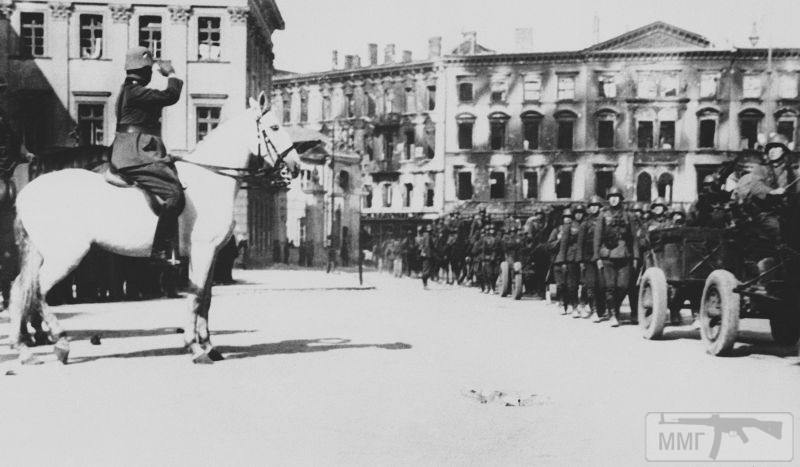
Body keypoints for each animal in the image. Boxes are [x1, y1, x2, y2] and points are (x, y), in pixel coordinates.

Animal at [7, 92, 300, 366]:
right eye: (275, 127)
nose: (296, 167)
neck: (210, 179)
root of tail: (27, 190)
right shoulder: (202, 251)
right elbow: (197, 296)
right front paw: (195, 347)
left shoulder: (212, 254)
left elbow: (206, 297)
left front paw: (210, 346)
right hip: (67, 255)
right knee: (39, 290)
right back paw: (60, 342)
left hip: (40, 252)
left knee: (20, 288)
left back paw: (24, 350)